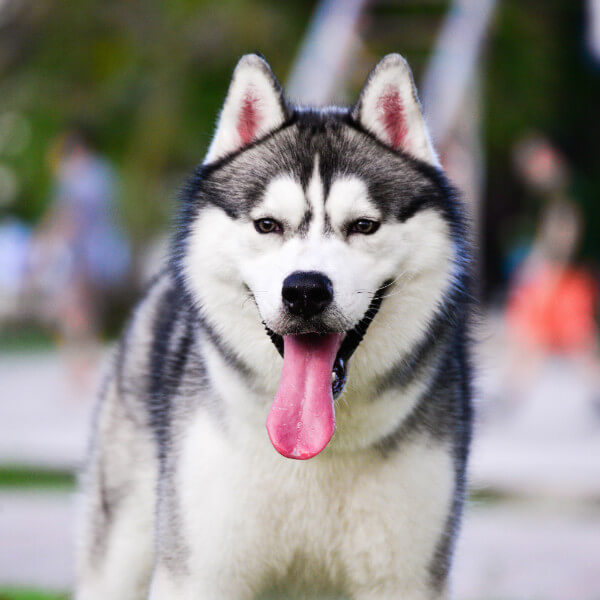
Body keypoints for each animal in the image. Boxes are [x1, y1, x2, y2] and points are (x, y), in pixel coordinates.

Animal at [75, 52, 472, 600]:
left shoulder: (404, 578)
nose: (305, 290)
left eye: (363, 226)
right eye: (268, 225)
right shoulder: (198, 574)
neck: (315, 450)